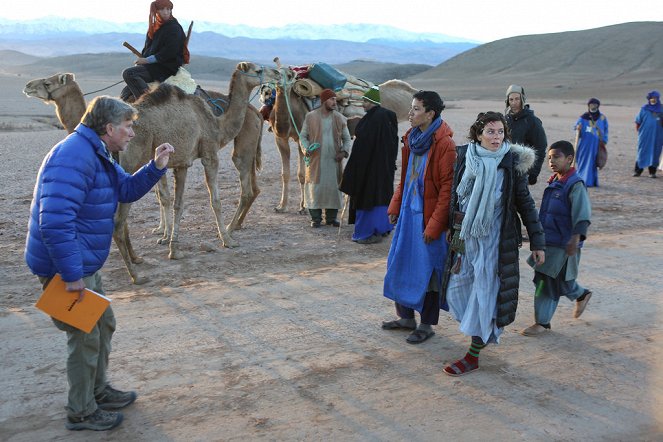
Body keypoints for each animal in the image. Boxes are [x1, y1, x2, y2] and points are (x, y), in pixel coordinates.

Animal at [24, 62, 280, 284]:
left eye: (48, 82)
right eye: (258, 70)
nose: (277, 74)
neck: (217, 123)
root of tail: (255, 113)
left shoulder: (181, 163)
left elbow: (176, 203)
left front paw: (173, 247)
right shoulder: (209, 154)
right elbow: (212, 201)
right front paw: (226, 241)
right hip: (131, 164)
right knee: (118, 222)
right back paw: (137, 273)